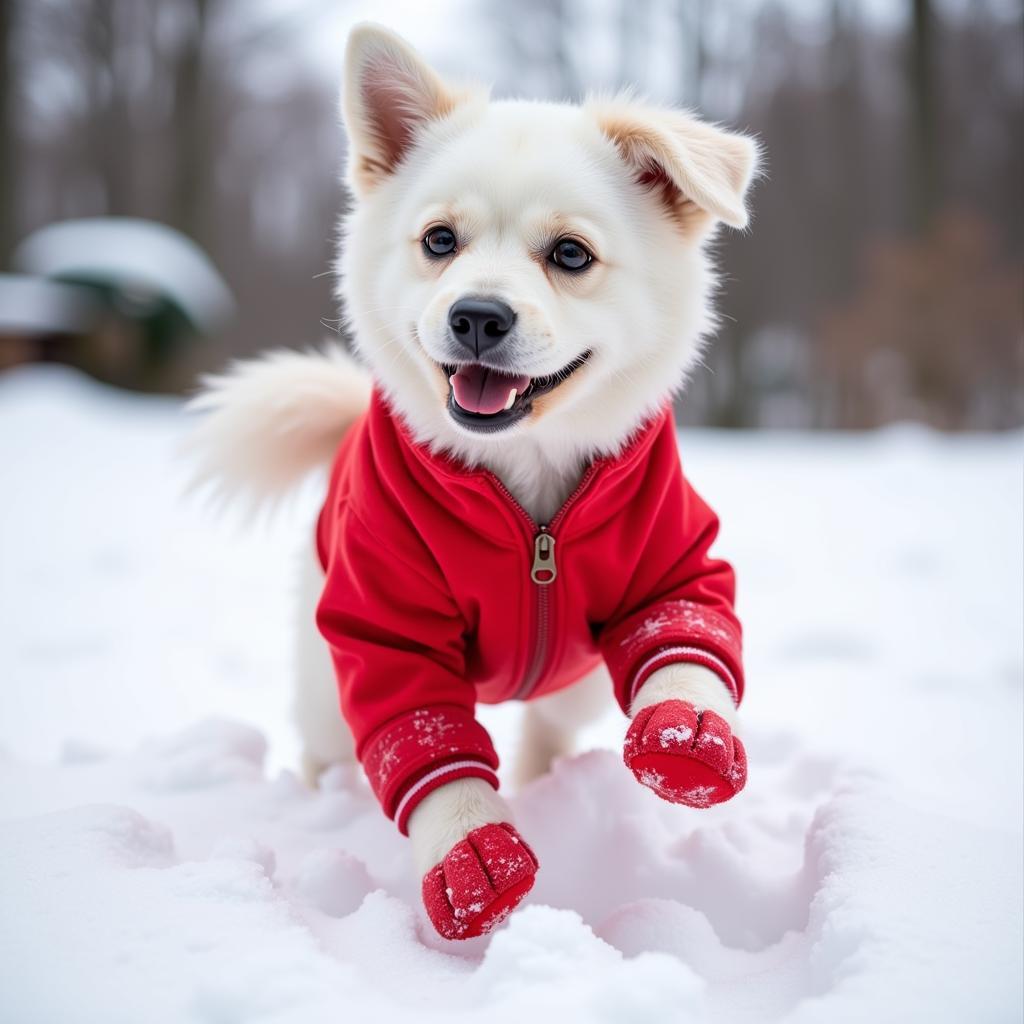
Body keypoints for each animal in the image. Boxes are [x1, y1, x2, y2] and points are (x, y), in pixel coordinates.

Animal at [186, 22, 761, 937]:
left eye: (571, 254)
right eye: (438, 241)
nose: (478, 316)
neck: (528, 501)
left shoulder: (673, 558)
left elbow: (688, 639)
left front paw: (689, 731)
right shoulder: (383, 623)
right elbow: (427, 744)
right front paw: (471, 853)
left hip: (574, 688)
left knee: (548, 735)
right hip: (321, 679)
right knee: (328, 743)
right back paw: (322, 799)